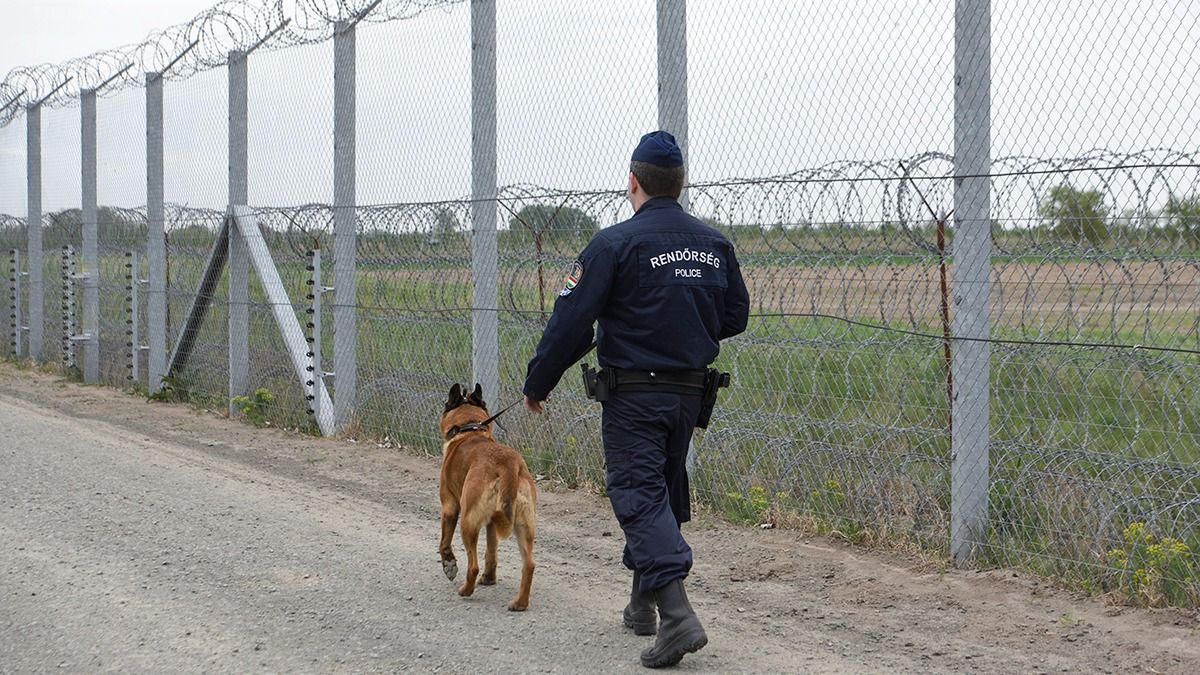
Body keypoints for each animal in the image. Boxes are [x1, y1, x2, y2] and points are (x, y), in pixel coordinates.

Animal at [439, 381, 537, 607]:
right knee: (529, 565)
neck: (470, 428)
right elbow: (491, 551)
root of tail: (508, 464)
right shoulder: (492, 521)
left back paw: (466, 590)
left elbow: (444, 543)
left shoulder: (449, 507)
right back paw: (520, 603)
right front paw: (490, 578)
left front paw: (449, 565)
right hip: (523, 525)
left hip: (467, 522)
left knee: (472, 565)